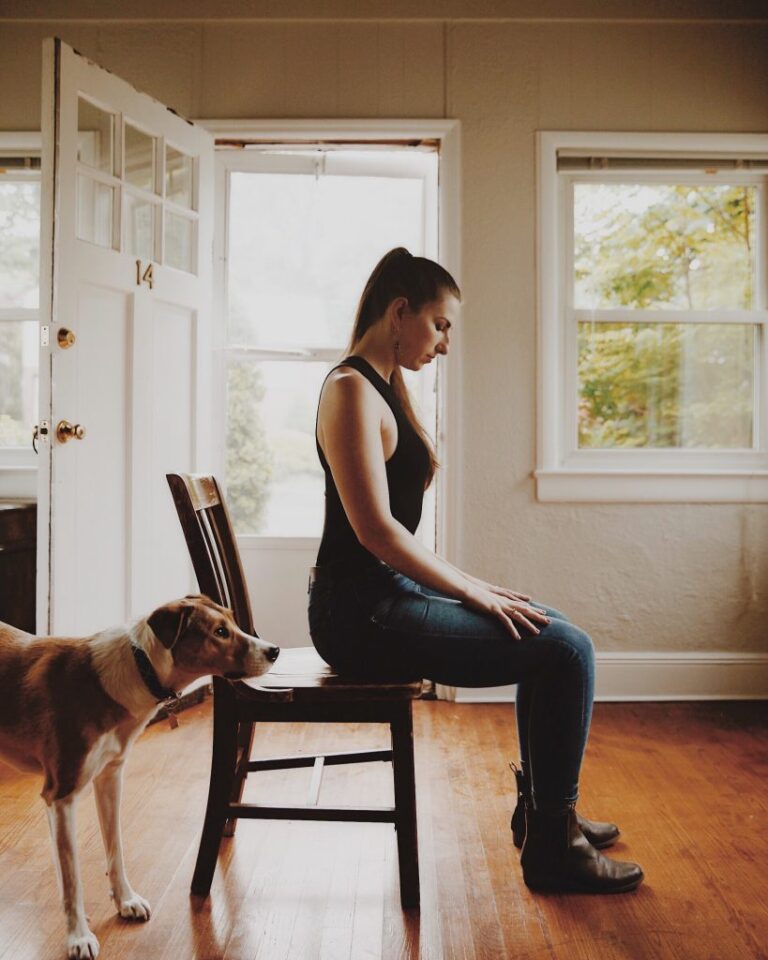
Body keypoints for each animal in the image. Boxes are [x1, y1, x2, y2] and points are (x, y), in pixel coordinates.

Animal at [0, 596, 280, 956]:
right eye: (220, 632)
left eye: (232, 621)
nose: (274, 650)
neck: (140, 669)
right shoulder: (61, 794)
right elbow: (73, 875)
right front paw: (78, 936)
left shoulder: (110, 776)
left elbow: (115, 847)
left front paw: (125, 901)